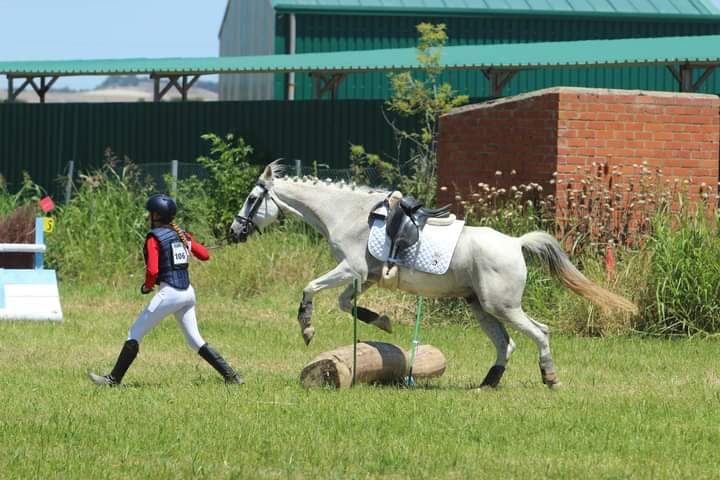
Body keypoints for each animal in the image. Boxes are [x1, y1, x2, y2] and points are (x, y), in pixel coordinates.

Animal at [229, 161, 637, 389]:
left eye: (251, 199)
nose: (233, 233)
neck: (346, 213)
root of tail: (516, 243)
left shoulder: (351, 268)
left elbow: (311, 288)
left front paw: (307, 327)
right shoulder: (365, 276)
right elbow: (347, 304)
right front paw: (382, 322)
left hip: (501, 305)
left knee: (540, 332)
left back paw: (549, 378)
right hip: (480, 306)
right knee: (506, 344)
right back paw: (487, 384)